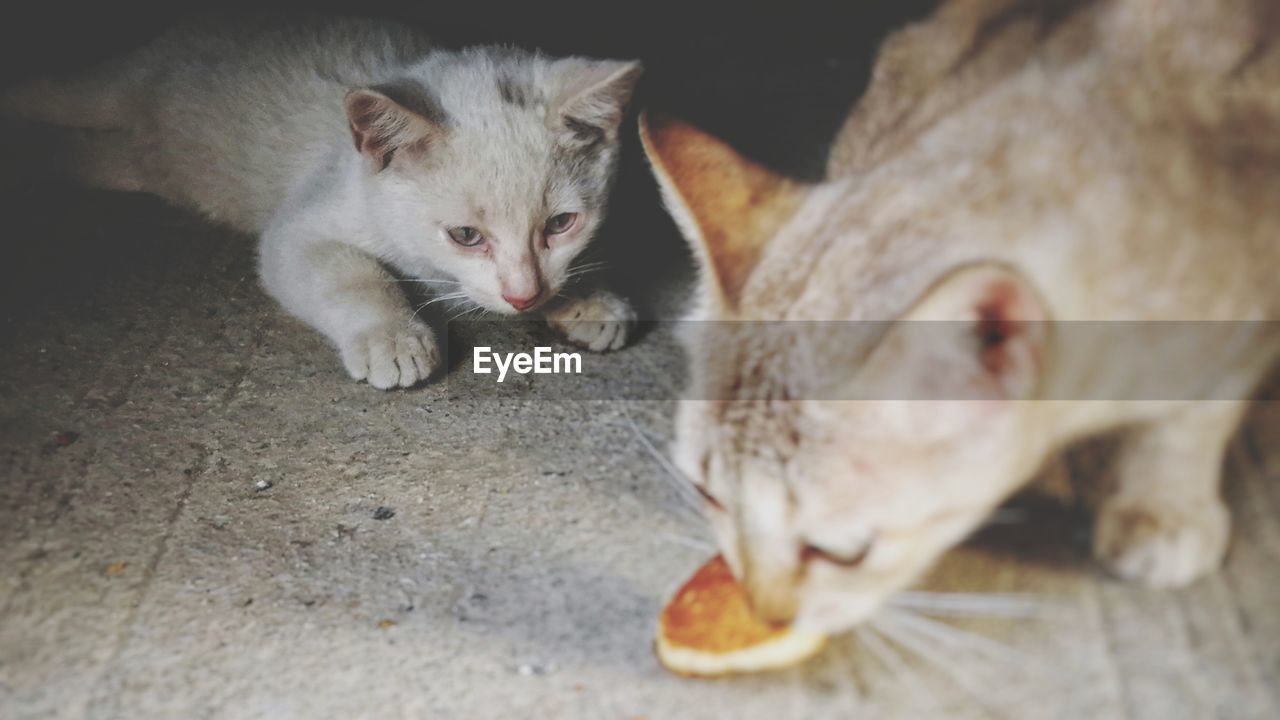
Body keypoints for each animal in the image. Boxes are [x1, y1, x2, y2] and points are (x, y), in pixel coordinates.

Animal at [0, 16, 640, 386]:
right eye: (465, 236)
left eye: (561, 223)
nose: (524, 294)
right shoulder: (298, 229)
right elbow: (351, 275)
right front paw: (392, 336)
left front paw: (588, 298)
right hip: (110, 91)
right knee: (58, 93)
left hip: (135, 163)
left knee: (85, 153)